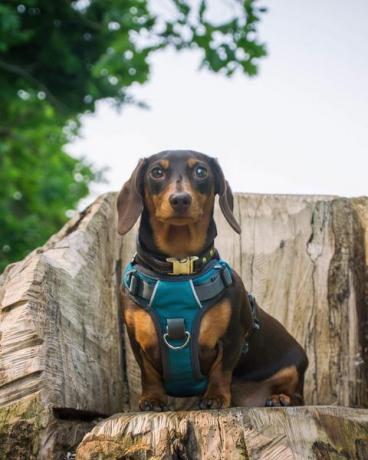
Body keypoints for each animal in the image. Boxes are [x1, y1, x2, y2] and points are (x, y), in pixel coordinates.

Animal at [117, 150, 308, 410]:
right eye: (156, 172)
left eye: (201, 171)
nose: (180, 200)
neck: (179, 269)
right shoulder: (137, 342)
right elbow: (149, 373)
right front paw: (152, 399)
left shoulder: (233, 337)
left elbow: (221, 369)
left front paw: (215, 397)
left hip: (293, 369)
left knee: (298, 397)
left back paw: (280, 398)